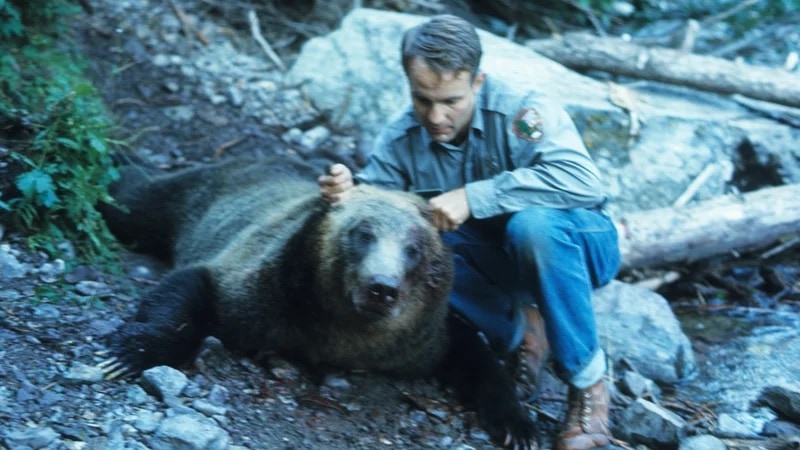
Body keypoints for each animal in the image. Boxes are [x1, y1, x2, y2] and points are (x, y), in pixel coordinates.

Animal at [100, 156, 536, 448]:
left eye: (413, 250)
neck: (343, 332)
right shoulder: (261, 291)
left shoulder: (420, 340)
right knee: (133, 202)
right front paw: (126, 354)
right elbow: (192, 290)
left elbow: (472, 354)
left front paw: (518, 426)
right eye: (363, 234)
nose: (382, 287)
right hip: (198, 195)